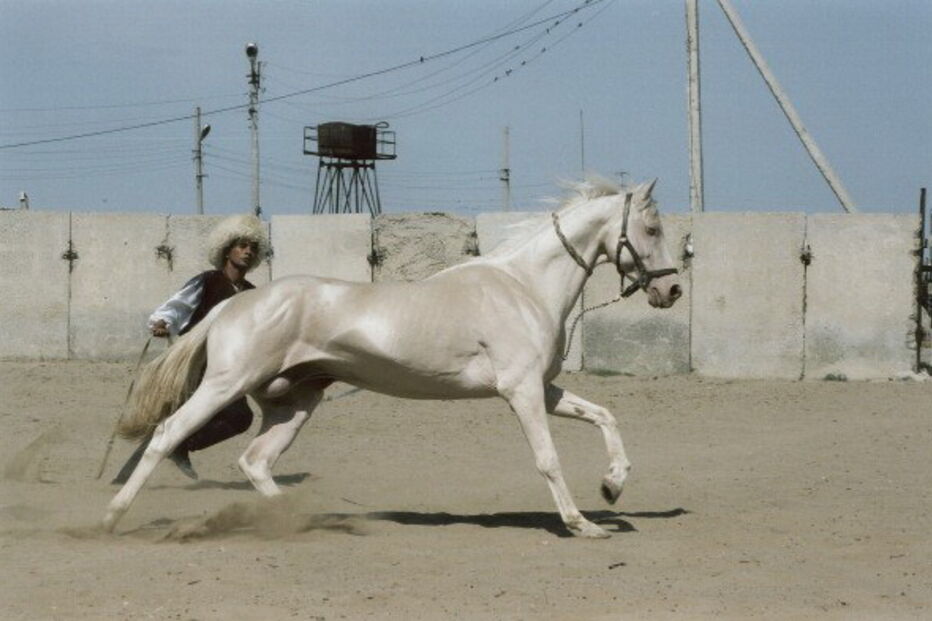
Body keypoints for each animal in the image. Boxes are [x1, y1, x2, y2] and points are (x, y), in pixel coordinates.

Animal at [103, 177, 682, 538]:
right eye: (652, 229)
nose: (671, 290)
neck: (523, 287)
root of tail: (233, 304)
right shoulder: (520, 392)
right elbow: (548, 459)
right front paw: (583, 524)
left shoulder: (542, 387)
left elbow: (605, 416)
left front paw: (612, 488)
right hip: (226, 385)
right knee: (167, 435)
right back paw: (112, 517)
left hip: (295, 402)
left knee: (256, 461)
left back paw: (301, 522)